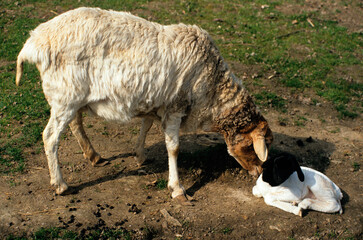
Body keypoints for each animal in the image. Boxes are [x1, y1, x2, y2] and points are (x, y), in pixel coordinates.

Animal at [16, 7, 272, 203]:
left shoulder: (157, 102)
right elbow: (173, 148)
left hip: (73, 97)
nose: (259, 173)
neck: (213, 89)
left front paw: (140, 154)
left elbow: (146, 126)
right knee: (50, 137)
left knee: (75, 124)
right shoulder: (175, 107)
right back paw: (60, 184)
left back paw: (94, 156)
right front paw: (177, 189)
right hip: (65, 95)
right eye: (252, 146)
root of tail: (33, 42)